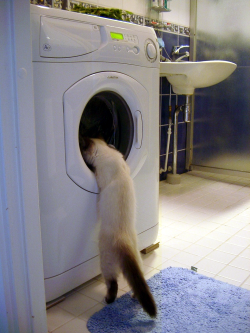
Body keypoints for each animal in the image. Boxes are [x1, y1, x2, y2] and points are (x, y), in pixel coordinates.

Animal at [79, 137, 156, 316]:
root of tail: (124, 240)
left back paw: (108, 300)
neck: (107, 154)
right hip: (137, 256)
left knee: (113, 283)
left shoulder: (101, 176)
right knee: (138, 280)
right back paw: (134, 296)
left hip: (105, 262)